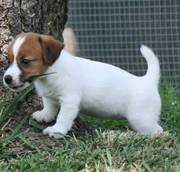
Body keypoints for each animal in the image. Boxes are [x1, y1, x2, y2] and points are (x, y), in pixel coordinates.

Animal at [3, 28, 163, 138]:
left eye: (25, 61)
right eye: (9, 60)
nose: (7, 78)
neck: (52, 71)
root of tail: (147, 81)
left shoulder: (69, 100)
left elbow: (63, 117)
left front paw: (57, 130)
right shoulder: (50, 97)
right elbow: (49, 108)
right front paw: (44, 116)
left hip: (141, 119)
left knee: (158, 130)